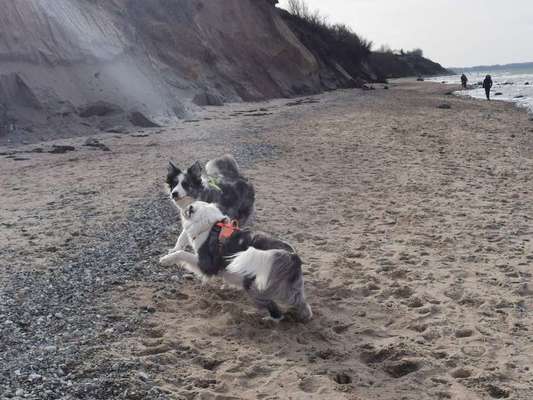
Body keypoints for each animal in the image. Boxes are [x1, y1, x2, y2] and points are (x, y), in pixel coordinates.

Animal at [160, 202, 314, 320]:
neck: (211, 226)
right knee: (301, 303)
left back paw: (267, 319)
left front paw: (166, 259)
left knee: (275, 310)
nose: (182, 207)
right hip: (291, 288)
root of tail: (291, 255)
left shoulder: (207, 264)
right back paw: (304, 316)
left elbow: (182, 253)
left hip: (254, 287)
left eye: (188, 209)